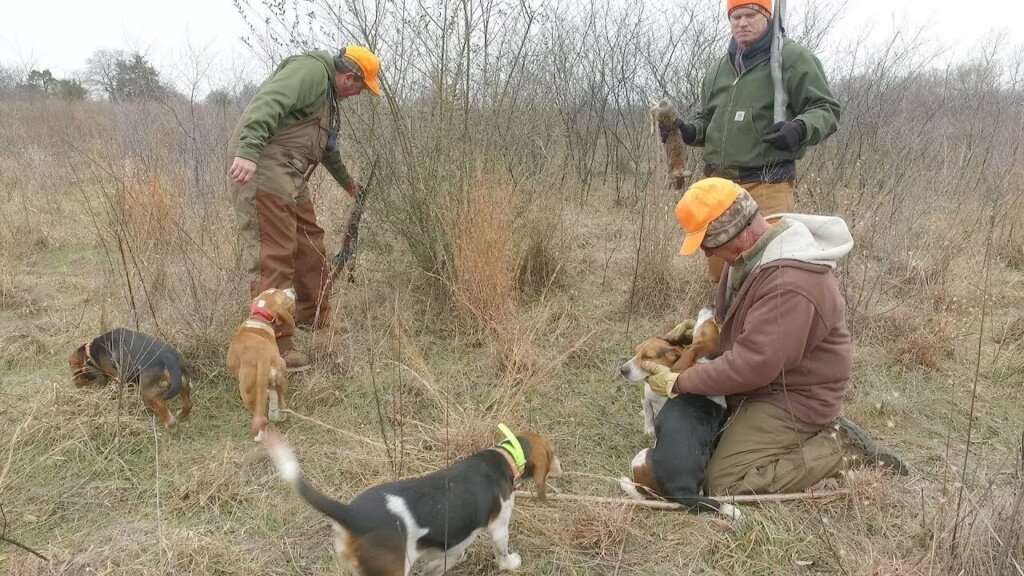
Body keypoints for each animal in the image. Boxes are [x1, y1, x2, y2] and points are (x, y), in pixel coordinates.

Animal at [227, 286, 296, 438]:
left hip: (247, 392)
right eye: (283, 294)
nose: (292, 289)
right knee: (279, 403)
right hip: (279, 379)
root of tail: (261, 357)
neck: (259, 318)